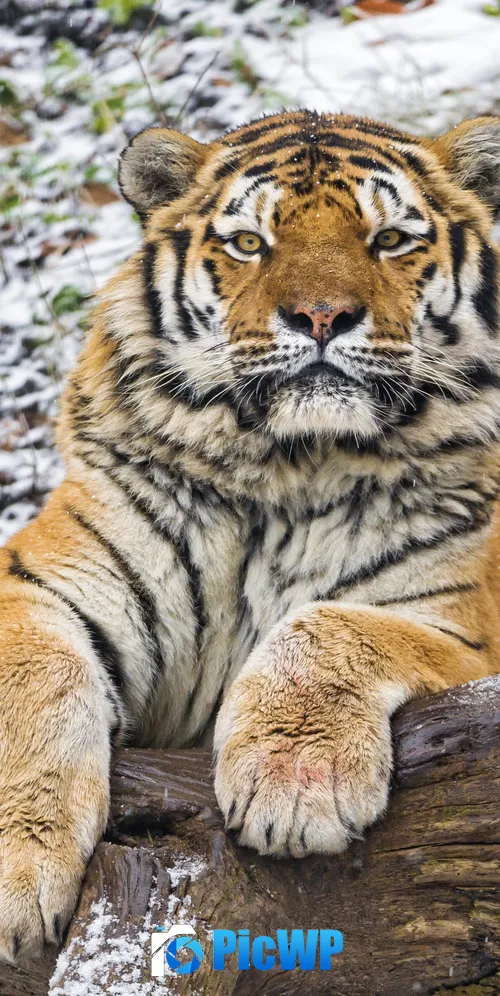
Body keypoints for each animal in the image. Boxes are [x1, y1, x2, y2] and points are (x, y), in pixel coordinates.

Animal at [1, 108, 500, 964]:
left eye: (389, 240)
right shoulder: (40, 583)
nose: (322, 317)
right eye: (248, 243)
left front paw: (294, 783)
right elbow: (38, 678)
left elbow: (329, 625)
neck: (292, 468)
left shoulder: (462, 627)